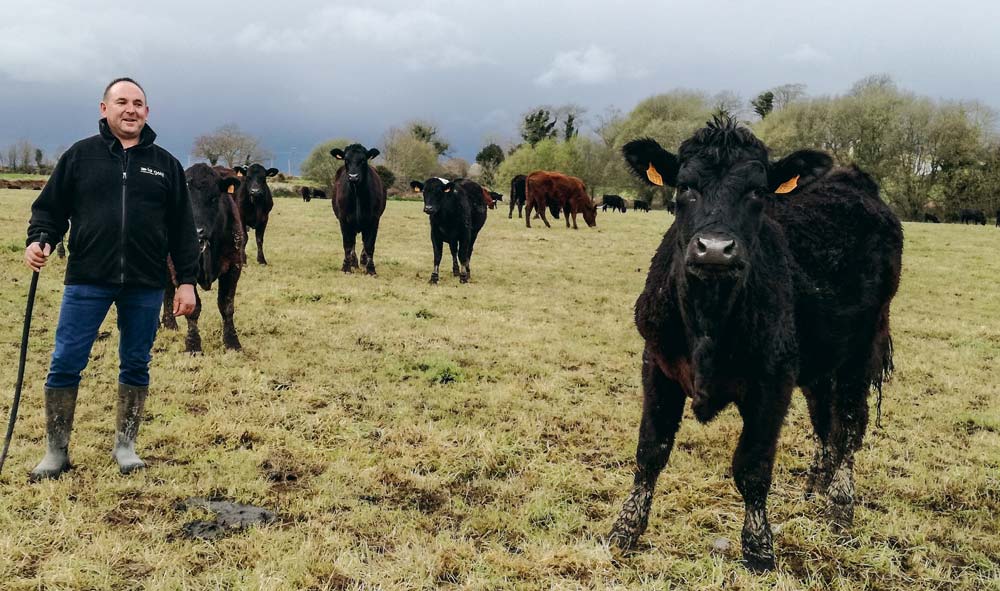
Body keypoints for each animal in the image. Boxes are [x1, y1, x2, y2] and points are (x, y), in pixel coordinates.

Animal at [163, 163, 245, 352]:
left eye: (214, 198)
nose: (196, 231)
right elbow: (193, 308)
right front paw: (193, 345)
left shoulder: (234, 266)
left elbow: (226, 305)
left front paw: (232, 342)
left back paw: (169, 324)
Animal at [332, 145, 386, 276]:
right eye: (346, 160)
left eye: (363, 160)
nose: (353, 176)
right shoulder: (344, 219)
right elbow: (347, 244)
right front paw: (346, 267)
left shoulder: (374, 219)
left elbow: (369, 244)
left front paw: (371, 269)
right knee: (353, 242)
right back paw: (353, 262)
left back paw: (362, 261)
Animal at [604, 118, 904, 572]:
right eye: (684, 187)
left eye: (758, 192)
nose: (714, 249)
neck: (708, 319)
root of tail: (853, 181)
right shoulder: (657, 364)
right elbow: (651, 451)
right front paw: (625, 530)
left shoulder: (773, 380)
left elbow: (753, 466)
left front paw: (759, 548)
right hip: (819, 361)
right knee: (825, 422)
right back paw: (816, 486)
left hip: (861, 349)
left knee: (850, 425)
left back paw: (839, 504)